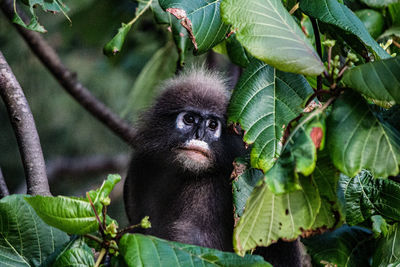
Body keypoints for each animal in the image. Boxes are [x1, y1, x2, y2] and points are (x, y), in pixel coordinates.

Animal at [123, 67, 302, 266]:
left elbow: (194, 238)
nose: (199, 135)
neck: (182, 173)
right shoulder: (142, 163)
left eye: (212, 124)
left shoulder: (213, 185)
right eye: (189, 119)